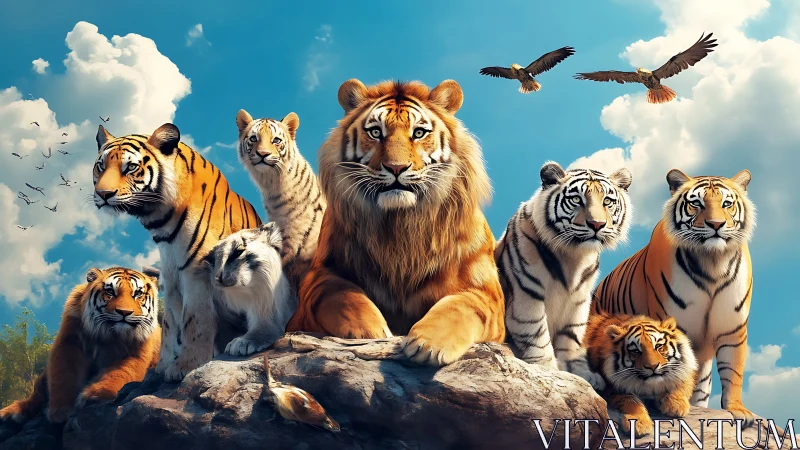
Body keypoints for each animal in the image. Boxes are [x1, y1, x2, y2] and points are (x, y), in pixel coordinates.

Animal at [0, 267, 160, 425]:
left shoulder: (136, 353)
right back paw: (11, 413)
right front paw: (61, 411)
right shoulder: (69, 342)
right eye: (110, 292)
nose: (124, 312)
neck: (110, 336)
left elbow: (120, 373)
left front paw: (95, 395)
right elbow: (64, 376)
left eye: (138, 294)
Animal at [93, 123, 263, 382]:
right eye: (101, 166)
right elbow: (170, 323)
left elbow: (195, 319)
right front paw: (163, 366)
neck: (160, 220)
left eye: (130, 167)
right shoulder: (171, 276)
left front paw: (186, 366)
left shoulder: (197, 272)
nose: (102, 194)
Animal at [286, 78, 506, 366]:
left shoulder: (486, 292)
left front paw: (428, 343)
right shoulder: (321, 275)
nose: (396, 168)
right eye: (375, 132)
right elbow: (342, 296)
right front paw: (370, 331)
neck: (401, 224)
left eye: (419, 132)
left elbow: (460, 306)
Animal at [495, 161, 632, 390]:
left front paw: (580, 372)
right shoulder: (527, 293)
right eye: (577, 200)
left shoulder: (579, 299)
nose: (597, 224)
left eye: (607, 201)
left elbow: (571, 335)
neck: (574, 256)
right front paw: (547, 370)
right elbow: (536, 333)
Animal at [591, 168, 756, 425]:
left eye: (727, 204)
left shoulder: (733, 329)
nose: (716, 224)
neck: (713, 263)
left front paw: (738, 410)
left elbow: (733, 372)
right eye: (696, 204)